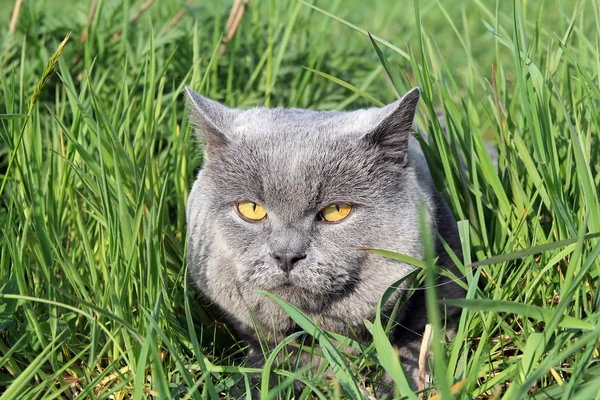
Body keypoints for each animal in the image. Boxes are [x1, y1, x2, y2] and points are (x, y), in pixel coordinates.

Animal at [185, 86, 466, 396]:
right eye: (251, 209)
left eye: (336, 211)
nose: (287, 254)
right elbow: (265, 360)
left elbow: (420, 349)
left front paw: (399, 388)